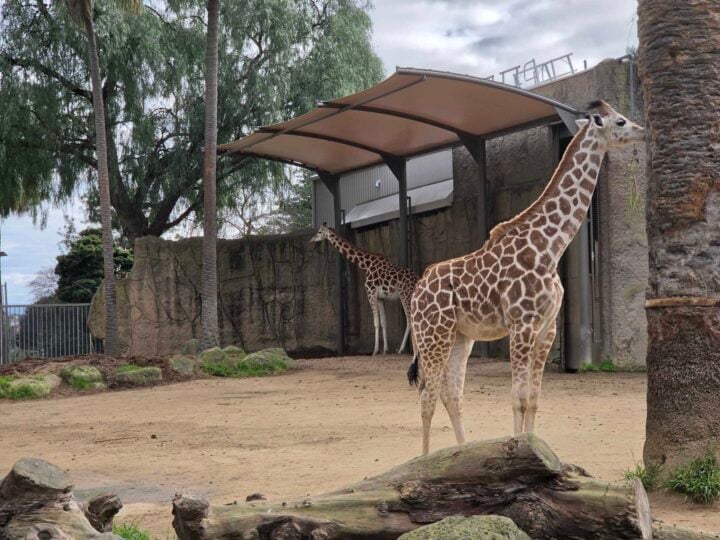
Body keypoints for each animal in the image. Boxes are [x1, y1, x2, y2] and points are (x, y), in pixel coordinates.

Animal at [311, 223, 419, 355]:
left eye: (319, 232)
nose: (311, 240)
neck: (365, 265)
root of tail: (417, 279)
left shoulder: (370, 293)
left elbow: (376, 323)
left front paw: (375, 350)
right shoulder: (380, 298)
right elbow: (383, 322)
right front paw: (385, 350)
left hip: (405, 295)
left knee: (410, 319)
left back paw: (404, 349)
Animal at [408, 100, 644, 455]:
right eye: (620, 121)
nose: (643, 131)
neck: (551, 246)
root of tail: (416, 292)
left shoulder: (547, 327)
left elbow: (533, 398)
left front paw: (533, 450)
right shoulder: (522, 322)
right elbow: (517, 397)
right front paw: (517, 448)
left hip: (460, 337)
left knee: (452, 395)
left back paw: (461, 453)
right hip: (433, 335)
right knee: (427, 396)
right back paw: (424, 461)